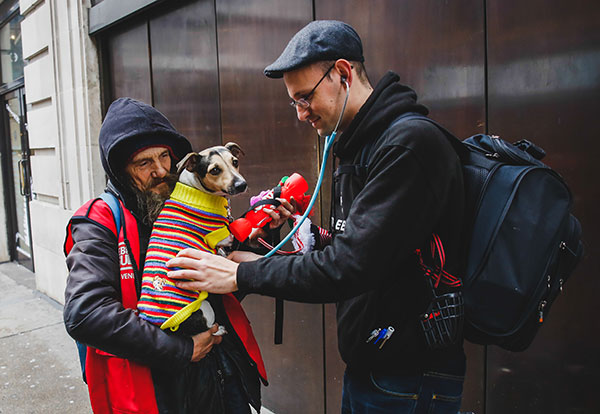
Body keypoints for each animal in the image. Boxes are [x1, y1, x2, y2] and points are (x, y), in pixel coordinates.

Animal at [137, 142, 246, 336]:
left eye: (235, 161)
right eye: (214, 170)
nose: (242, 185)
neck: (195, 189)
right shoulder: (219, 235)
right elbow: (228, 236)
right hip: (206, 308)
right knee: (206, 329)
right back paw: (218, 330)